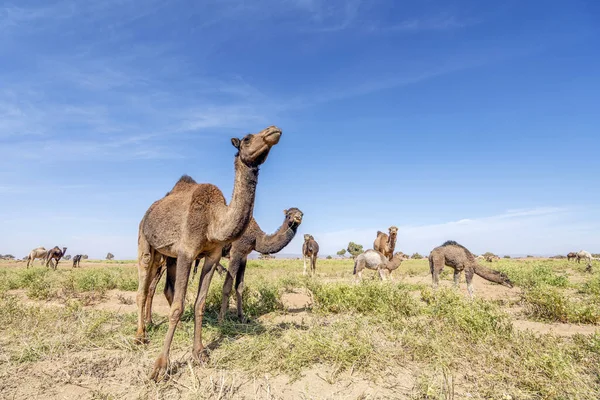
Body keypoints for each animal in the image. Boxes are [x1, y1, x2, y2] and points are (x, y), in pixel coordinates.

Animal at [137, 125, 282, 382]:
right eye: (247, 138)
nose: (273, 131)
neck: (213, 221)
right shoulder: (187, 252)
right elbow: (177, 306)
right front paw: (160, 366)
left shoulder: (211, 257)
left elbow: (199, 304)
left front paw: (200, 353)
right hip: (146, 241)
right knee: (143, 288)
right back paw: (140, 335)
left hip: (169, 257)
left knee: (164, 289)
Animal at [146, 208, 304, 324]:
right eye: (289, 215)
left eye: (301, 212)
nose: (298, 217)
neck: (257, 238)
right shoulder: (236, 252)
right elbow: (227, 286)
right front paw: (221, 320)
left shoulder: (244, 257)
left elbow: (240, 286)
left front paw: (242, 317)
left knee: (152, 287)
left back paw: (150, 322)